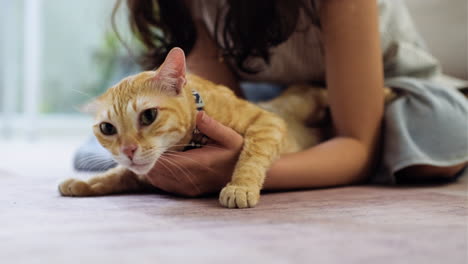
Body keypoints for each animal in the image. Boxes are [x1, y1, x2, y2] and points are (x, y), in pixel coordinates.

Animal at [58, 47, 394, 208]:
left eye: (149, 115)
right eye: (107, 128)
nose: (128, 150)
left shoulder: (266, 123)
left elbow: (251, 155)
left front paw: (240, 187)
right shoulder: (142, 175)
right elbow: (118, 175)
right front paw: (84, 183)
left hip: (304, 99)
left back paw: (389, 91)